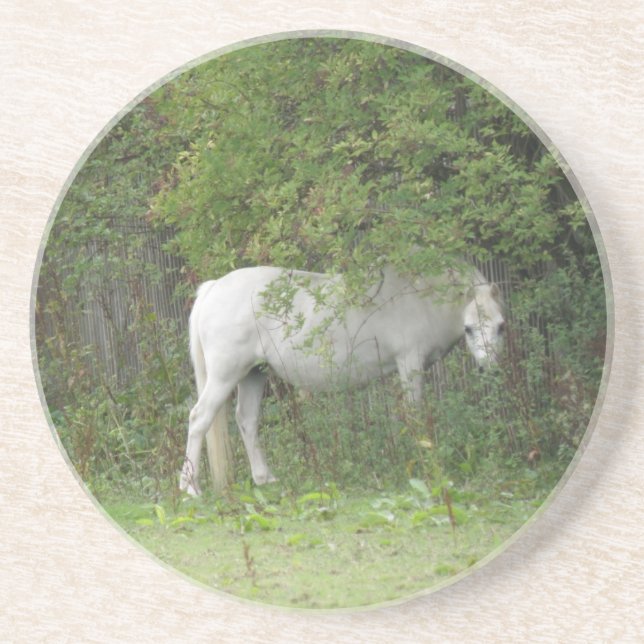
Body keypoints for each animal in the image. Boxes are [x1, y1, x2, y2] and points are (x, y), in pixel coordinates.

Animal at [179, 263, 505, 496]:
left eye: (501, 326)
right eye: (469, 329)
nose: (490, 369)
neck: (419, 296)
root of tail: (213, 288)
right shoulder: (409, 363)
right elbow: (414, 414)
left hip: (253, 374)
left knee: (247, 420)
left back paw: (265, 479)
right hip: (225, 375)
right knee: (199, 418)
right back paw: (190, 488)